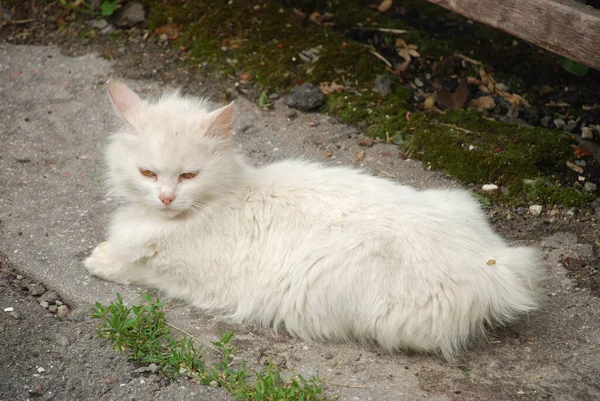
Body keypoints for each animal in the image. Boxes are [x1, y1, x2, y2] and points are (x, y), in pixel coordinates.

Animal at [86, 79, 540, 358]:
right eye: (148, 173)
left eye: (188, 176)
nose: (165, 197)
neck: (225, 196)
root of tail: (494, 261)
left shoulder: (193, 280)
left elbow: (138, 267)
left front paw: (101, 259)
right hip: (456, 200)